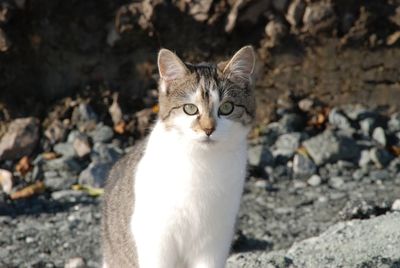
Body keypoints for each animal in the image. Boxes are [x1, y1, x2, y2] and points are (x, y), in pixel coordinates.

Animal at [101, 46, 256, 268]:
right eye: (190, 109)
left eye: (227, 108)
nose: (208, 129)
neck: (202, 162)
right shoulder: (156, 238)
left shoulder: (215, 241)